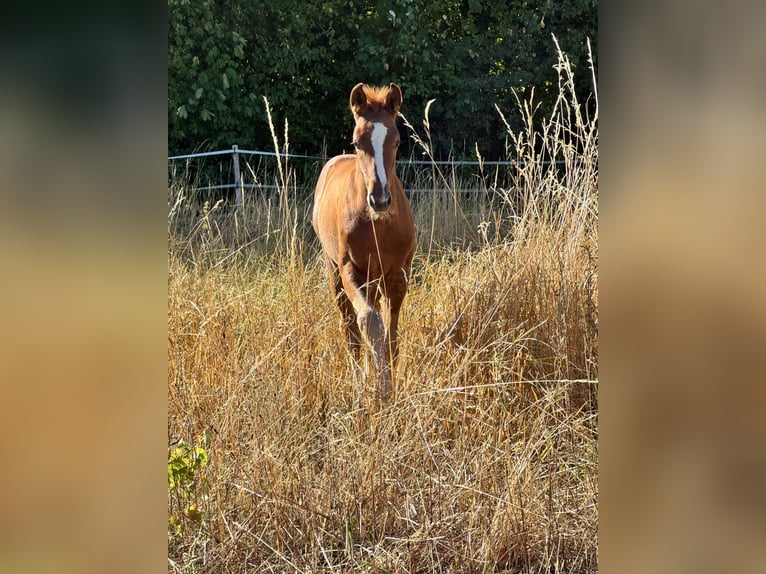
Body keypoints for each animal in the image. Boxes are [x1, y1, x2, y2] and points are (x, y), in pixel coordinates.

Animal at [312, 83, 416, 402]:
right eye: (357, 143)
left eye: (396, 142)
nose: (380, 200)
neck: (378, 226)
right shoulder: (350, 271)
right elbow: (368, 323)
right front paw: (380, 390)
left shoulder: (398, 275)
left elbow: (391, 334)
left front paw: (390, 386)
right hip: (334, 272)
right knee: (350, 327)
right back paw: (360, 378)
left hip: (376, 279)